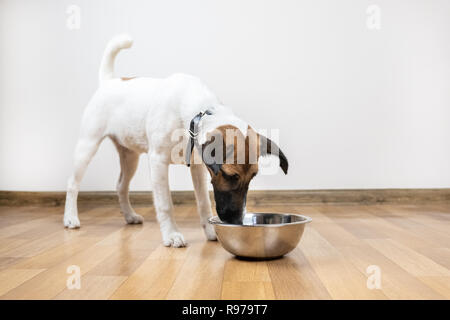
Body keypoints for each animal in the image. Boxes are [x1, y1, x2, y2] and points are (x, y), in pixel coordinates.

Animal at [63, 34, 288, 248]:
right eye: (230, 175)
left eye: (253, 176)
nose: (236, 221)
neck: (195, 115)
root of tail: (109, 81)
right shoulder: (158, 162)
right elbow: (165, 204)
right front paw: (171, 235)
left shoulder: (198, 168)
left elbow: (203, 202)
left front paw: (210, 231)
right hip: (87, 146)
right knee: (73, 184)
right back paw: (70, 217)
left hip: (130, 157)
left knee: (121, 186)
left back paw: (129, 215)